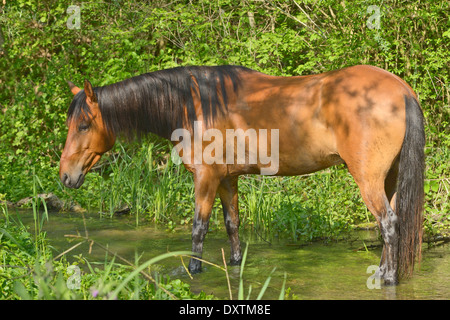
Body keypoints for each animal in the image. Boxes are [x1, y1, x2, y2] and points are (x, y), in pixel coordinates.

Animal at [60, 63, 426, 284]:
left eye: (83, 124)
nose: (65, 176)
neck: (195, 106)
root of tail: (401, 90)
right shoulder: (227, 178)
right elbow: (232, 224)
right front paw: (235, 264)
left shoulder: (205, 177)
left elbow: (199, 228)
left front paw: (193, 269)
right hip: (389, 178)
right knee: (390, 224)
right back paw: (382, 272)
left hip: (369, 180)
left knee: (389, 224)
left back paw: (388, 279)